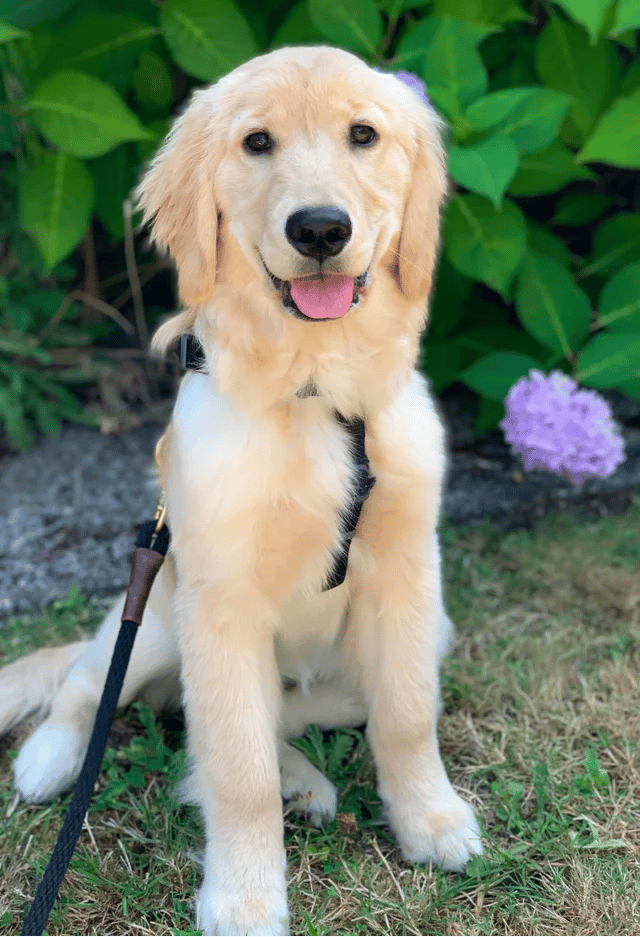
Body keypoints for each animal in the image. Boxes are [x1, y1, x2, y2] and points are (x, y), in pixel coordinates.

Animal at [0, 45, 480, 936]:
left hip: (423, 632)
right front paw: (247, 898)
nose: (320, 229)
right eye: (257, 143)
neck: (315, 389)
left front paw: (430, 819)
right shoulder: (219, 598)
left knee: (250, 722)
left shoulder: (407, 573)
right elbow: (236, 767)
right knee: (95, 681)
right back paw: (51, 756)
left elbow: (405, 716)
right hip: (156, 610)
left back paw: (303, 778)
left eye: (364, 135)